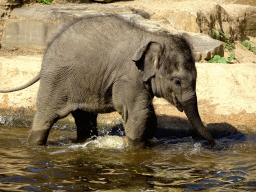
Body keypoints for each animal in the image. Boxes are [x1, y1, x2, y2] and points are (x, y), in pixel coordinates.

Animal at [0, 14, 216, 147]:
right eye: (177, 81)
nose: (213, 144)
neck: (153, 36)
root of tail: (47, 51)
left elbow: (149, 113)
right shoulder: (128, 77)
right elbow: (139, 112)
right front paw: (135, 147)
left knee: (84, 117)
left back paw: (84, 142)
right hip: (56, 80)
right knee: (47, 114)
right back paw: (35, 144)